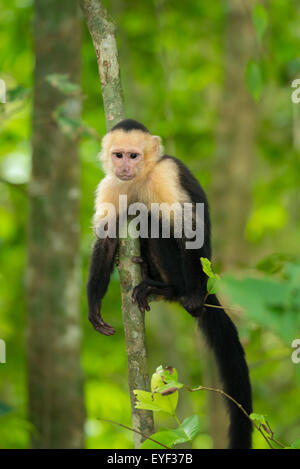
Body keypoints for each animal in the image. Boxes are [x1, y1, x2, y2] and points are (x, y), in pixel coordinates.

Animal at [87, 119, 253, 448]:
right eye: (118, 155)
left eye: (134, 156)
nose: (124, 166)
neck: (141, 176)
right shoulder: (111, 184)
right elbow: (107, 238)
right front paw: (94, 305)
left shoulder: (166, 174)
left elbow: (189, 231)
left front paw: (192, 296)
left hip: (189, 274)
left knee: (155, 219)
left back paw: (174, 291)